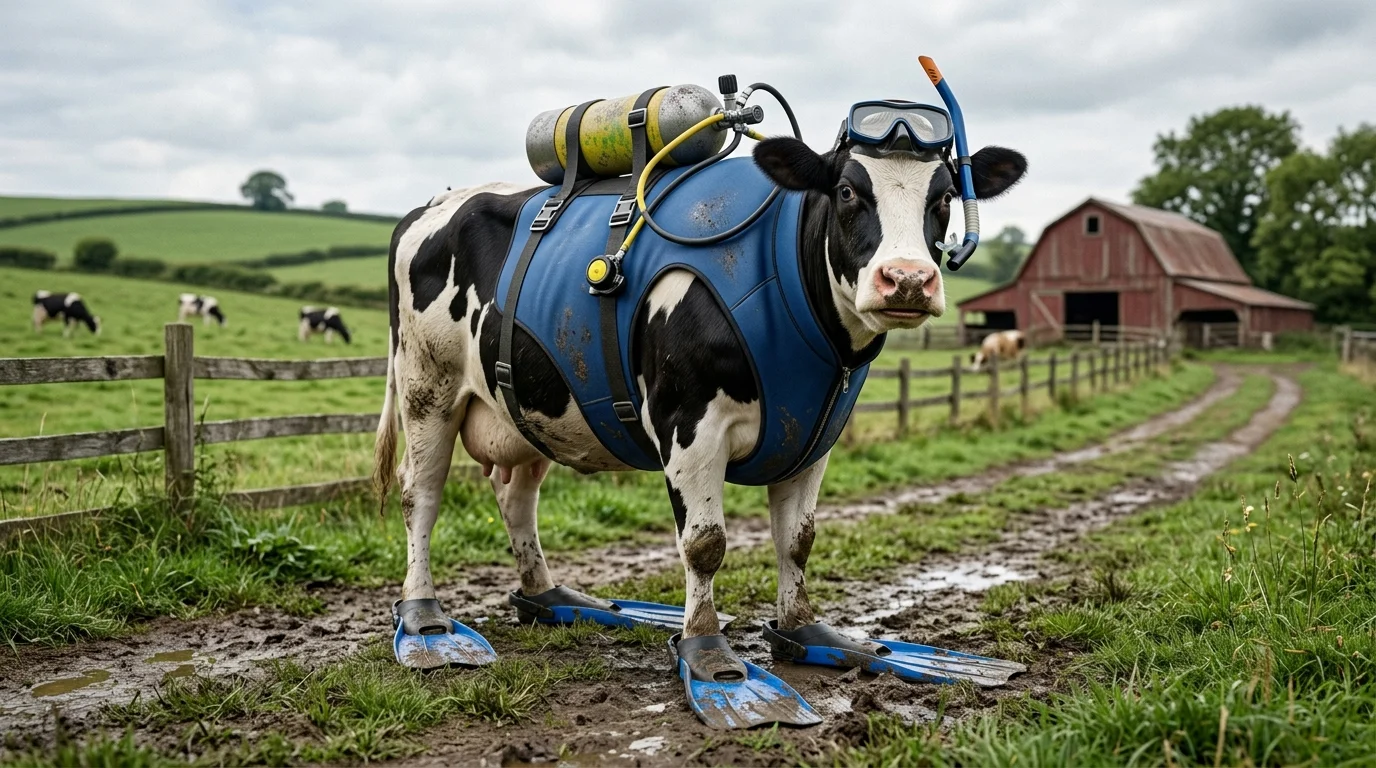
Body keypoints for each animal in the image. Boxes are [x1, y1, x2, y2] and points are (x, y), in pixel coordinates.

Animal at [373, 132, 1025, 701]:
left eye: (944, 197)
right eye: (846, 191)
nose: (908, 279)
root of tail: (432, 204)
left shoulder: (816, 431)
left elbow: (799, 541)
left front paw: (808, 632)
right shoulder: (690, 425)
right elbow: (705, 544)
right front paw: (709, 653)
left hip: (530, 408)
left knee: (515, 497)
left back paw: (551, 596)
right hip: (427, 386)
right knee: (420, 495)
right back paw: (426, 619)